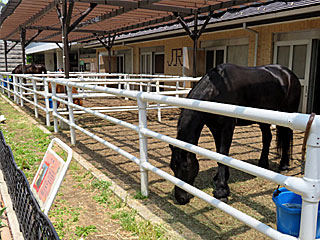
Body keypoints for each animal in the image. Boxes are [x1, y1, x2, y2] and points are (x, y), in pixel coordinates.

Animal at [169, 62, 302, 203]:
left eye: (185, 166)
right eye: (172, 167)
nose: (180, 198)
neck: (217, 90)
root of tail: (289, 74)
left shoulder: (228, 127)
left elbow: (223, 154)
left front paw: (221, 190)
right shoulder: (215, 128)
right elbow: (218, 153)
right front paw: (220, 178)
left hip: (287, 114)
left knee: (286, 137)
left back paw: (284, 165)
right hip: (264, 118)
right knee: (267, 137)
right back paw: (263, 164)